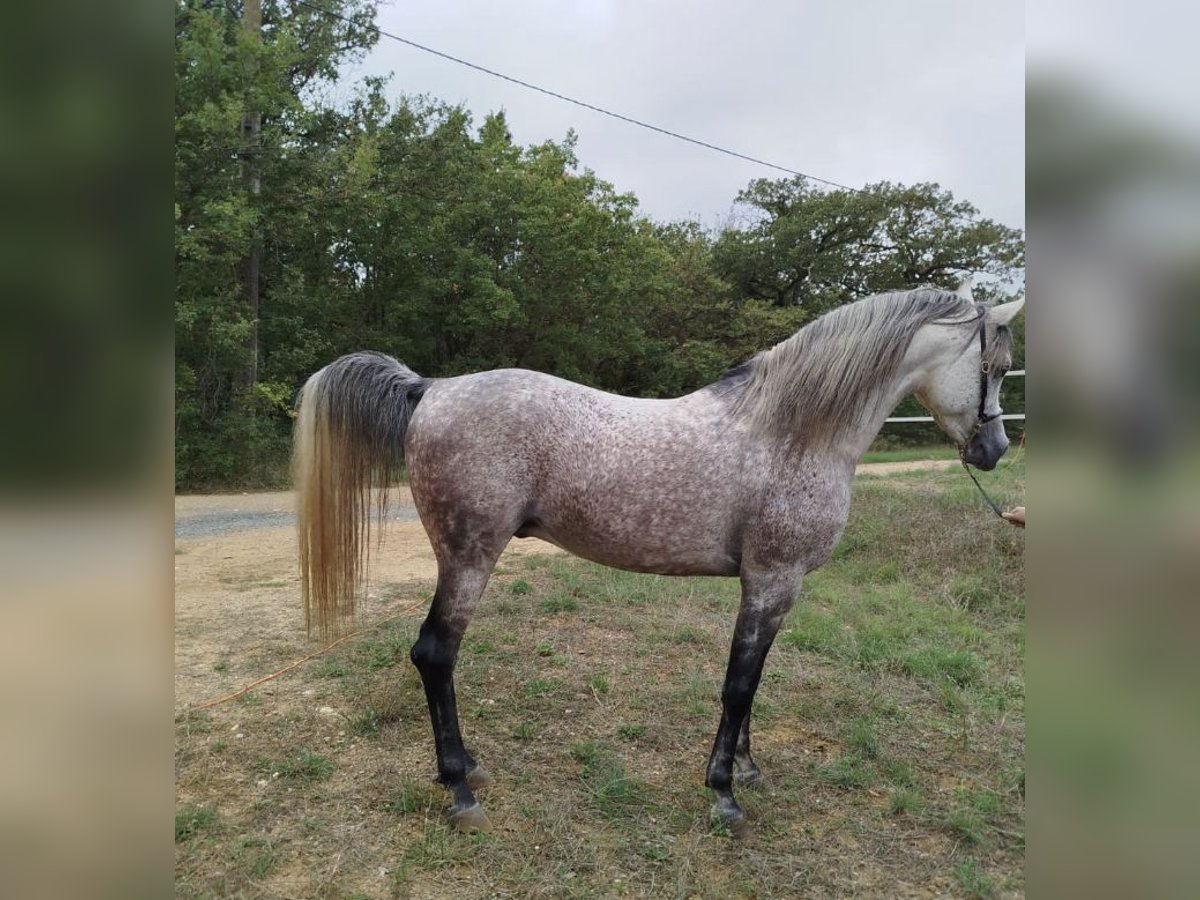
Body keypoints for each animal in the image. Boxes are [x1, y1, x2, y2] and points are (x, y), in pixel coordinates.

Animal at [295, 285, 1027, 835]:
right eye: (993, 368)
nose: (994, 450)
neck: (791, 432)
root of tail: (432, 387)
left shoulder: (774, 590)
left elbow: (754, 680)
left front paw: (747, 769)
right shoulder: (772, 580)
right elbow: (737, 684)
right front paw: (724, 793)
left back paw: (469, 768)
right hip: (468, 558)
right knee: (434, 655)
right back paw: (460, 790)